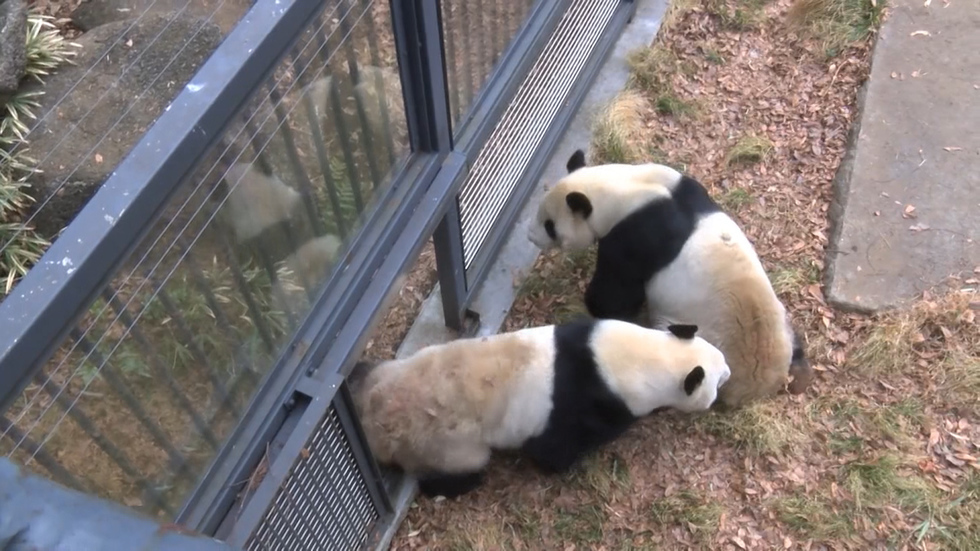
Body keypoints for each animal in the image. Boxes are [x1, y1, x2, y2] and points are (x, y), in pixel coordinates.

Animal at [349, 318, 730, 499]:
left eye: (721, 359)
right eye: (717, 381)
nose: (728, 373)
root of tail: (373, 420)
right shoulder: (584, 403)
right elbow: (554, 450)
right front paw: (562, 467)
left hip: (396, 367)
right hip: (441, 440)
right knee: (462, 464)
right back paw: (449, 487)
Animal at [526, 150, 814, 408]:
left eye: (550, 225)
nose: (530, 236)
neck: (629, 189)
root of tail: (758, 386)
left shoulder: (634, 236)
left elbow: (615, 291)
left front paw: (599, 308)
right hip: (780, 317)